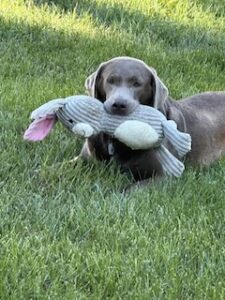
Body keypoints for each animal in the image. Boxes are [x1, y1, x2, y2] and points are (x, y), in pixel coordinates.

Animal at [78, 56, 225, 183]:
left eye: (137, 83)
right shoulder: (84, 157)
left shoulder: (163, 176)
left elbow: (128, 191)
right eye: (110, 80)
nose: (119, 104)